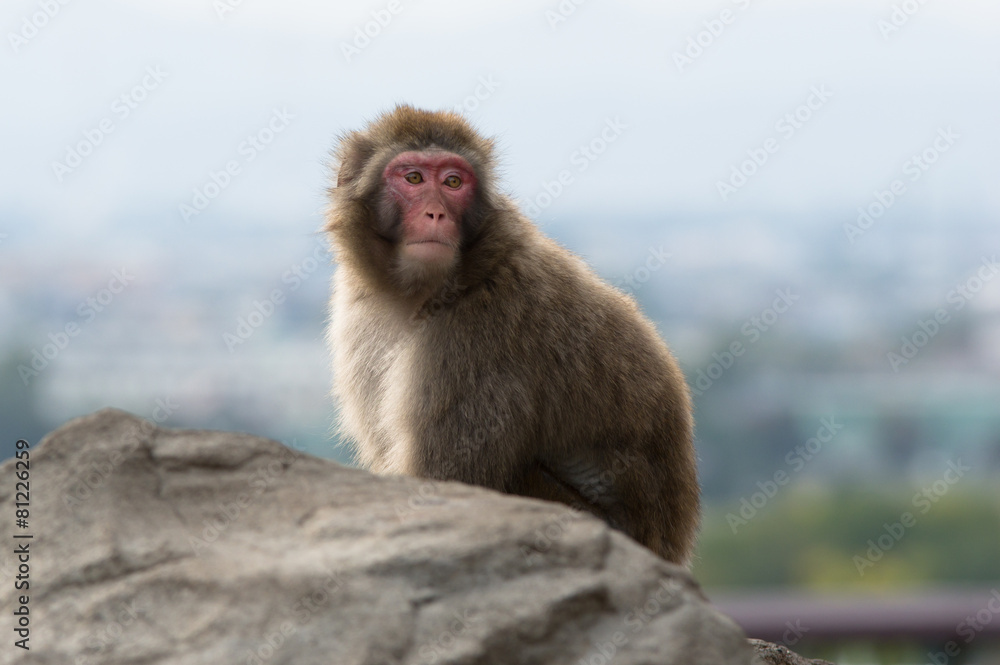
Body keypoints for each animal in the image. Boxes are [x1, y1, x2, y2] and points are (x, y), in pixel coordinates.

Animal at [325, 105, 699, 564]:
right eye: (413, 178)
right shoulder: (358, 317)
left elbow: (443, 483)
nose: (436, 213)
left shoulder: (476, 339)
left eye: (453, 182)